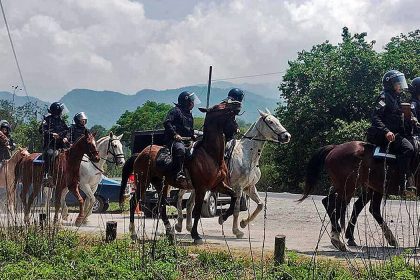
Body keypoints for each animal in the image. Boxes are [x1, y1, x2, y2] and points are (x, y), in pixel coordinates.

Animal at [130, 100, 241, 243]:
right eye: (222, 106)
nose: (237, 104)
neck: (210, 153)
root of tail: (140, 154)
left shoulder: (217, 185)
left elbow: (234, 196)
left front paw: (223, 217)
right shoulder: (201, 188)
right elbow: (197, 211)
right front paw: (195, 235)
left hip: (161, 184)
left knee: (161, 205)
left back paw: (170, 232)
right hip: (143, 182)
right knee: (134, 202)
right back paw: (133, 233)